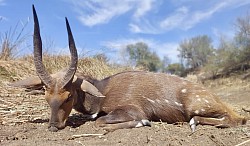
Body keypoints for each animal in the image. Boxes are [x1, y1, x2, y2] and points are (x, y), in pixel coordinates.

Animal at [11, 5, 246, 132]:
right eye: (46, 96)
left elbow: (102, 121)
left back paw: (195, 123)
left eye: (68, 96)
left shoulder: (133, 109)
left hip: (197, 107)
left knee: (235, 119)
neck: (103, 90)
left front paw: (142, 123)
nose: (54, 125)